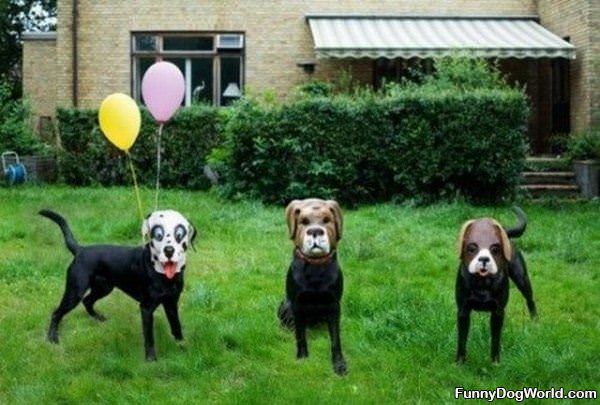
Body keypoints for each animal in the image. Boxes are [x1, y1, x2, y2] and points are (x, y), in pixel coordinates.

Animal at [38, 208, 197, 360]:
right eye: (158, 234)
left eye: (180, 234)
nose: (169, 250)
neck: (163, 273)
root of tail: (80, 250)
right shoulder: (146, 308)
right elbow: (149, 337)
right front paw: (151, 358)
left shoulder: (171, 302)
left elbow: (176, 326)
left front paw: (182, 347)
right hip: (75, 291)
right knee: (57, 312)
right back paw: (52, 338)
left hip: (104, 287)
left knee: (87, 301)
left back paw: (99, 318)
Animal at [278, 197, 346, 374]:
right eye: (303, 221)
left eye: (327, 220)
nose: (315, 231)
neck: (315, 268)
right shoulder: (297, 304)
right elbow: (300, 335)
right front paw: (302, 357)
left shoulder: (334, 305)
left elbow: (335, 338)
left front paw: (339, 364)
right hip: (284, 304)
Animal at [458, 205, 536, 362]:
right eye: (471, 248)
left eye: (495, 249)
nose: (484, 259)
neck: (482, 283)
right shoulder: (463, 311)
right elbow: (462, 340)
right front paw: (459, 362)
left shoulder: (498, 312)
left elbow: (495, 339)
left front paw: (495, 362)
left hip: (522, 279)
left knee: (530, 300)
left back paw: (535, 322)